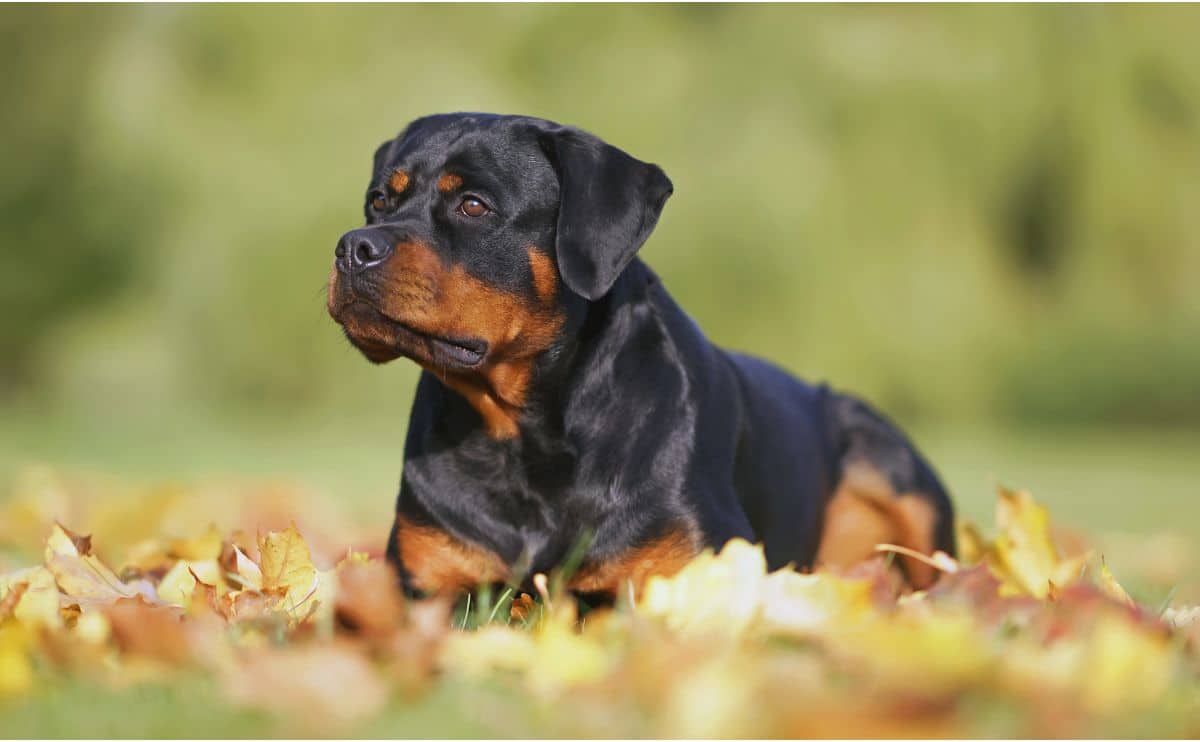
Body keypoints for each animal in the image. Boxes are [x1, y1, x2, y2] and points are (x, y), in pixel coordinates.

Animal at [328, 112, 955, 597]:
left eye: (473, 205)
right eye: (378, 200)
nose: (353, 246)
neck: (521, 435)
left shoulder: (698, 564)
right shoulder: (423, 583)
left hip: (889, 463)